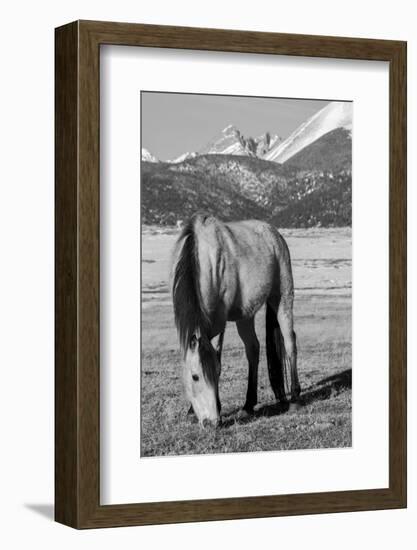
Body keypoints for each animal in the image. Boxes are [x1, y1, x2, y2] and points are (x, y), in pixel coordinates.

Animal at [171, 215, 300, 426]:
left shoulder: (219, 322)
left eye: (215, 373)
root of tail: (275, 234)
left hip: (282, 298)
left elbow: (218, 356)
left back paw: (295, 398)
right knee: (253, 348)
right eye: (195, 376)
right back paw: (248, 405)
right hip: (245, 315)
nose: (212, 422)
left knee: (290, 343)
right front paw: (191, 411)